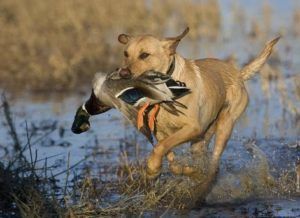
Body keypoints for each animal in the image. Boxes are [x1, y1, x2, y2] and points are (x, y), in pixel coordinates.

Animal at [116, 27, 278, 181]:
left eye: (144, 55)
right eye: (125, 54)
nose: (123, 73)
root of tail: (238, 73)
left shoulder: (193, 128)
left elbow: (160, 147)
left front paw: (151, 169)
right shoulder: (160, 132)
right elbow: (170, 159)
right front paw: (184, 171)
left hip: (225, 126)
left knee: (215, 161)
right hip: (201, 139)